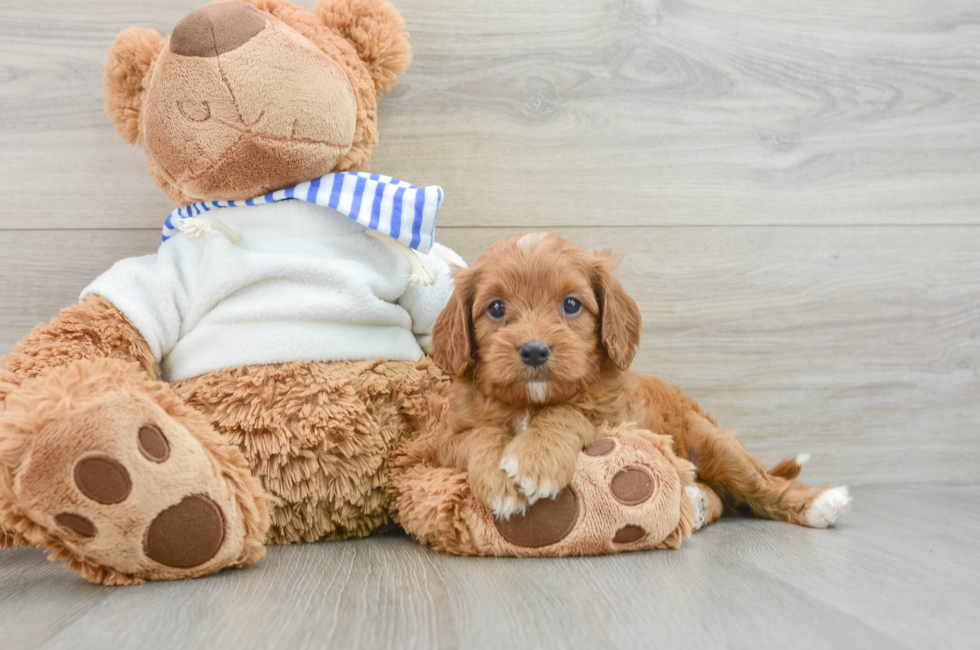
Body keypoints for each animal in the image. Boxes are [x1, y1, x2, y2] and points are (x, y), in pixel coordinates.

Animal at [430, 232, 848, 528]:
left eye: (571, 304)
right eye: (496, 308)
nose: (534, 351)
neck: (530, 403)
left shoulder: (616, 419)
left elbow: (569, 412)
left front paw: (537, 457)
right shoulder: (440, 442)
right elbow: (479, 434)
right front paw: (497, 481)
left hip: (715, 443)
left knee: (761, 485)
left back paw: (819, 504)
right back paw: (694, 498)